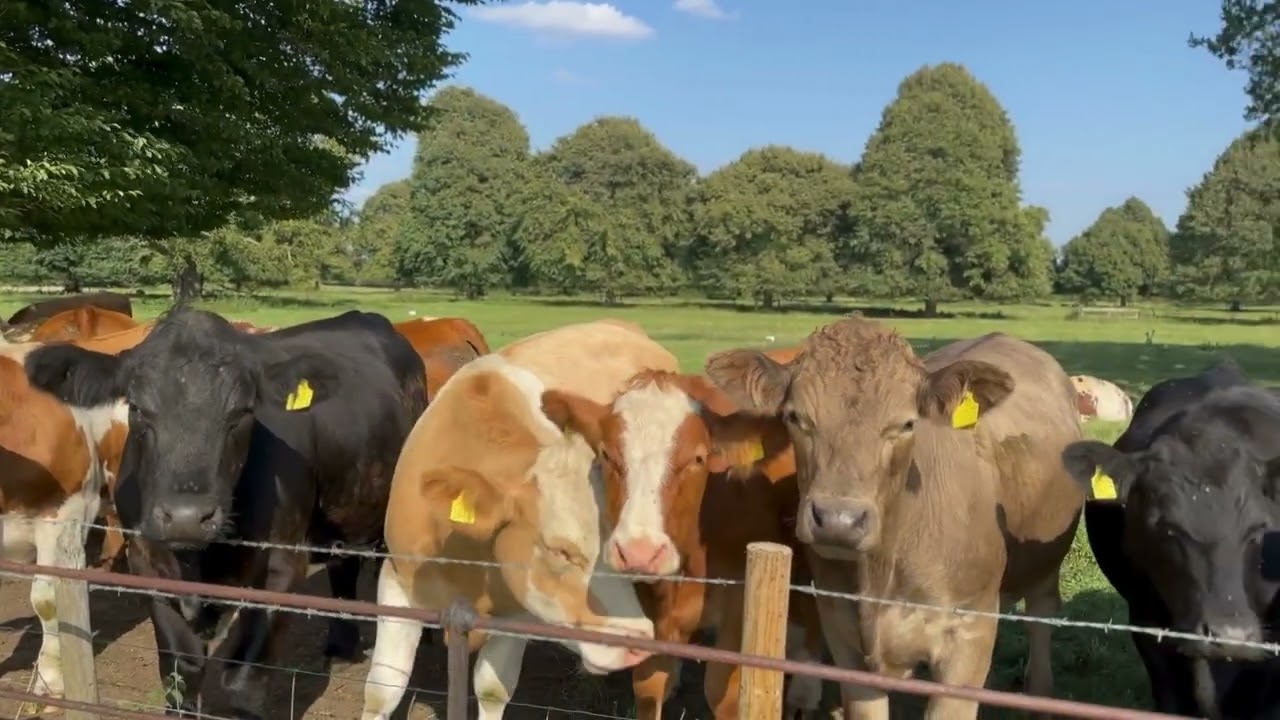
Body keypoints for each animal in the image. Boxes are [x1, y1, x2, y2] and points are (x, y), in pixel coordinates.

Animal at [23, 306, 428, 720]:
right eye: (136, 408)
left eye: (243, 412)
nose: (186, 517)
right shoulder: (148, 564)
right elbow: (180, 672)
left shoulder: (281, 568)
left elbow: (244, 682)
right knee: (342, 562)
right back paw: (341, 644)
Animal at [361, 319, 677, 720]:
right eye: (559, 551)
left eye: (617, 550)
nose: (638, 642)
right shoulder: (397, 578)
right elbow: (383, 689)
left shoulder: (516, 614)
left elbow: (493, 689)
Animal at [539, 354, 828, 720]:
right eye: (606, 455)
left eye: (698, 458)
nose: (639, 552)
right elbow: (648, 688)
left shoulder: (739, 602)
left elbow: (721, 693)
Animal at [702, 317, 1085, 719]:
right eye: (796, 417)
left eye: (906, 424)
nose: (838, 520)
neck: (881, 574)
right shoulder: (842, 633)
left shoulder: (971, 632)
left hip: (1045, 566)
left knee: (1041, 621)